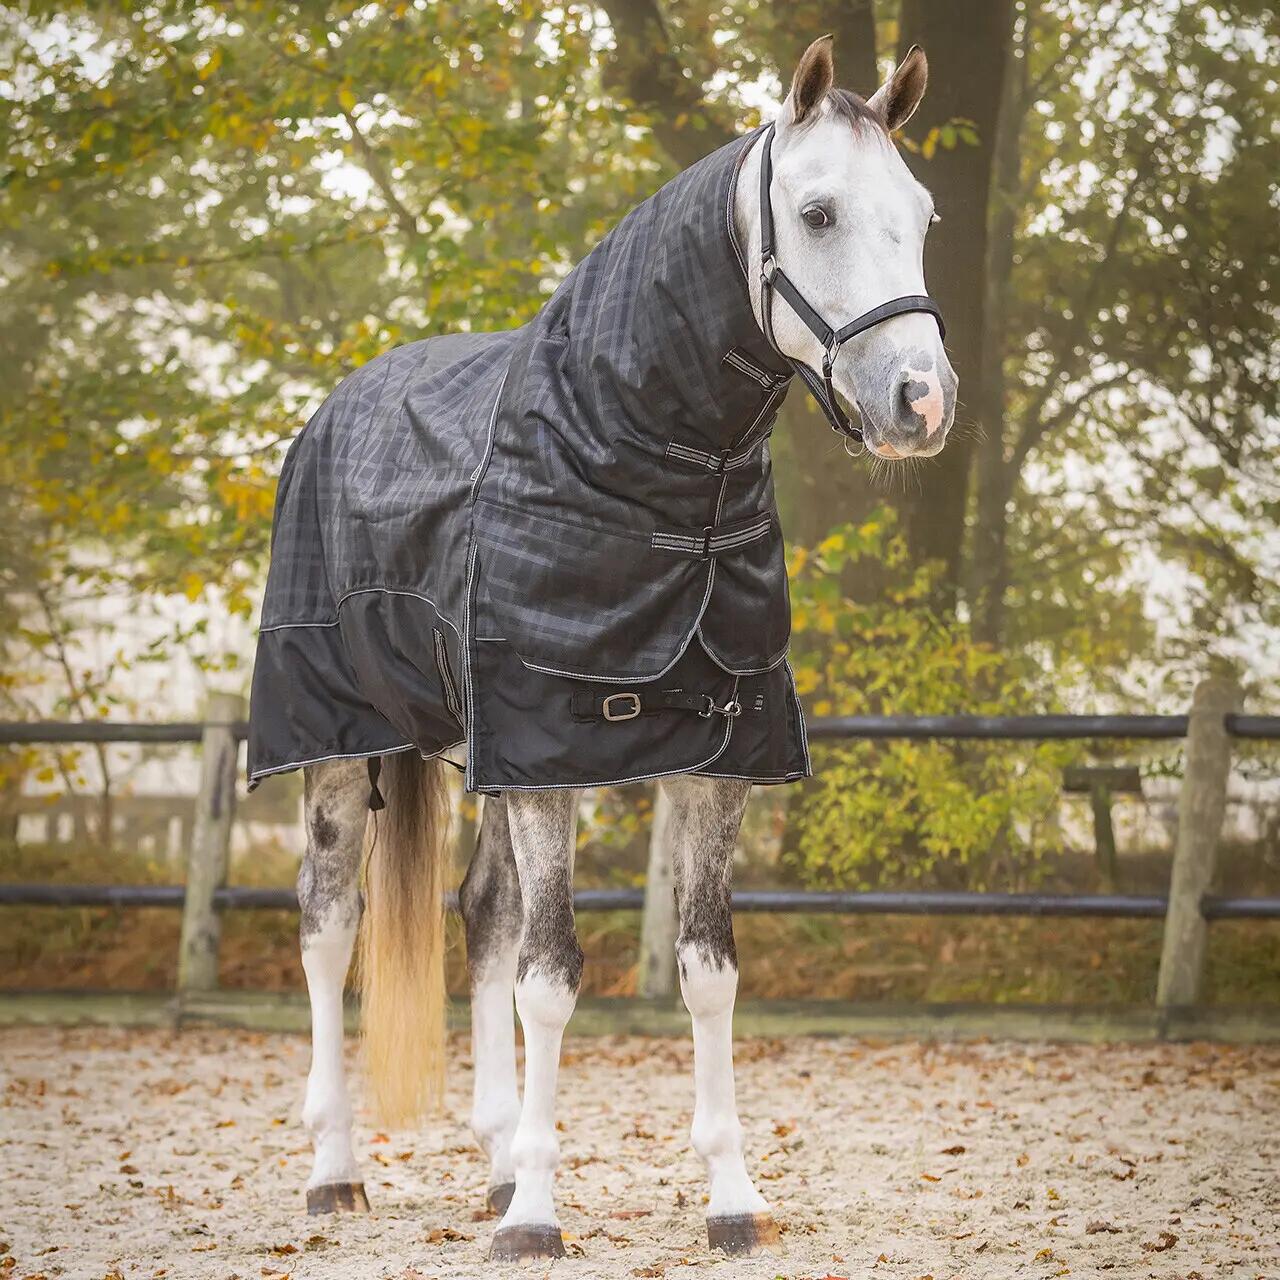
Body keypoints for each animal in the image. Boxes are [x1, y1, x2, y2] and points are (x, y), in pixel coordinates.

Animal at [271, 36, 957, 1261]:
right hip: (336, 749)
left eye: (921, 215)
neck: (646, 477)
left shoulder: (707, 763)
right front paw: (539, 1218)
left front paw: (728, 1198)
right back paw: (336, 1172)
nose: (919, 403)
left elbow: (705, 972)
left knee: (481, 914)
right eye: (818, 212)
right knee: (328, 927)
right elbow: (550, 979)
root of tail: (340, 403)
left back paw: (494, 1163)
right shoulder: (547, 759)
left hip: (487, 761)